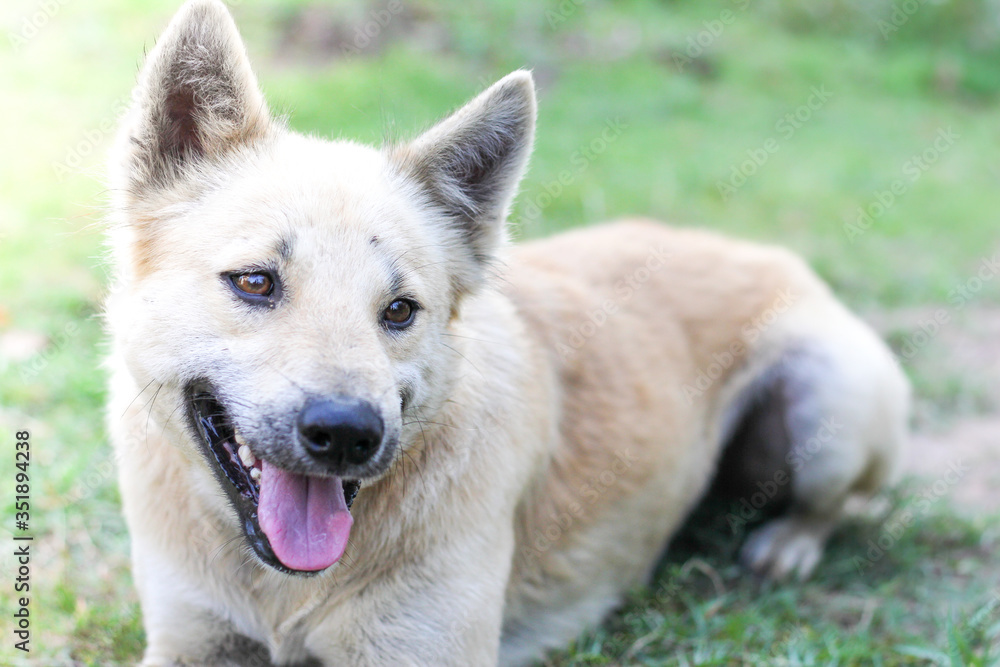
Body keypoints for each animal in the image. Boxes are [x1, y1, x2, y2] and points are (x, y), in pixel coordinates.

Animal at [105, 2, 912, 664]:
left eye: (400, 310)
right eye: (254, 282)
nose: (347, 435)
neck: (280, 585)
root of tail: (774, 255)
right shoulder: (187, 640)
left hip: (832, 411)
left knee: (827, 504)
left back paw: (787, 545)